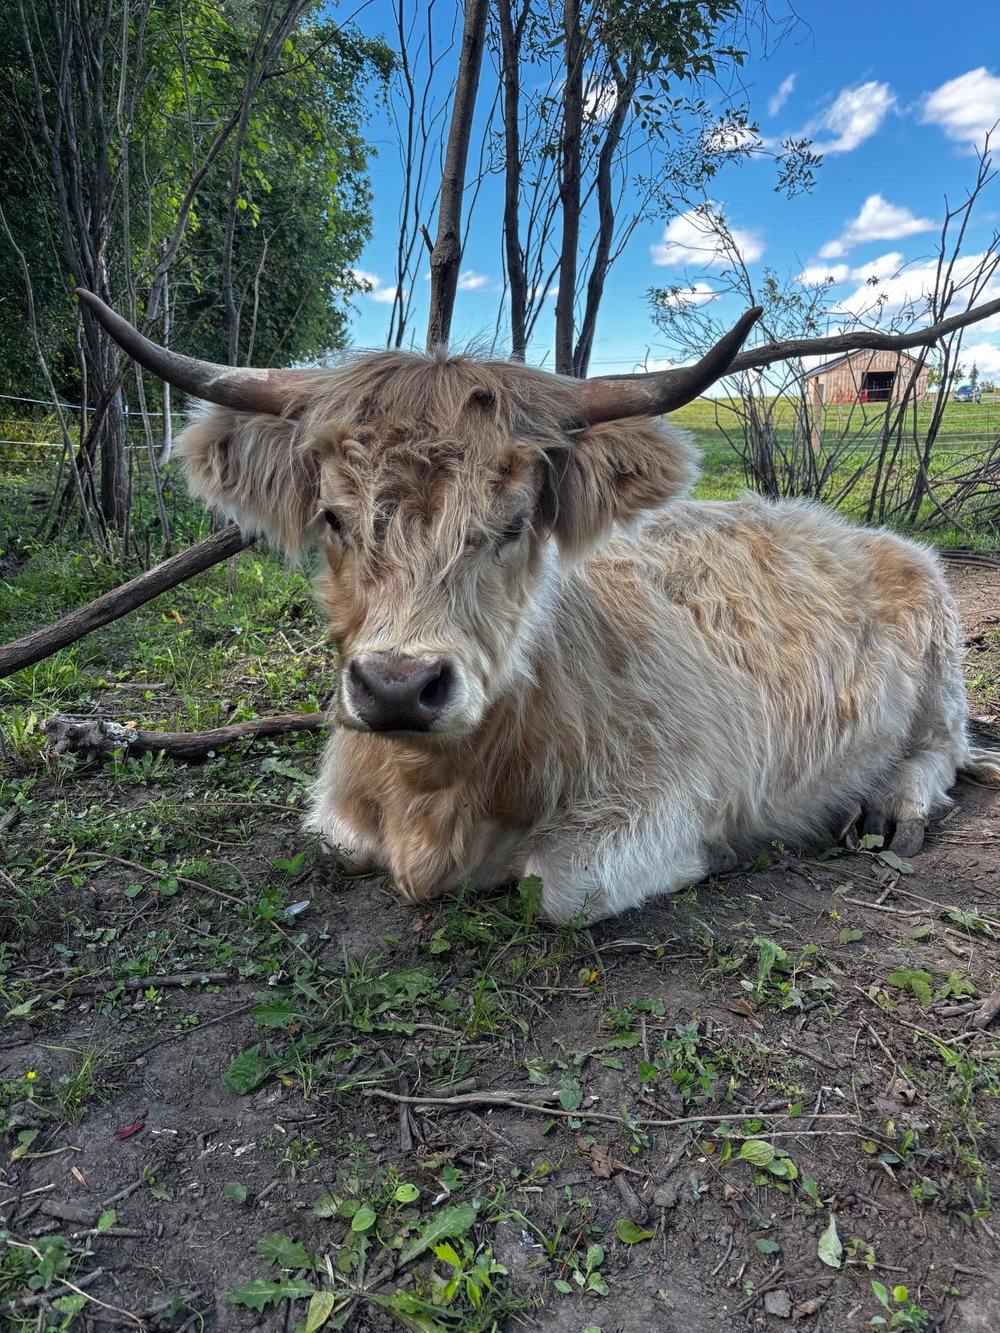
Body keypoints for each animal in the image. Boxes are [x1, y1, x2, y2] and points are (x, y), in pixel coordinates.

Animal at [79, 290, 1000, 924]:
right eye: (334, 519)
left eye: (514, 522)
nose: (398, 686)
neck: (437, 799)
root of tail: (857, 529)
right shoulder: (343, 807)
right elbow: (343, 840)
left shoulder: (669, 792)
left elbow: (553, 886)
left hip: (940, 664)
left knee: (942, 750)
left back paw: (890, 805)